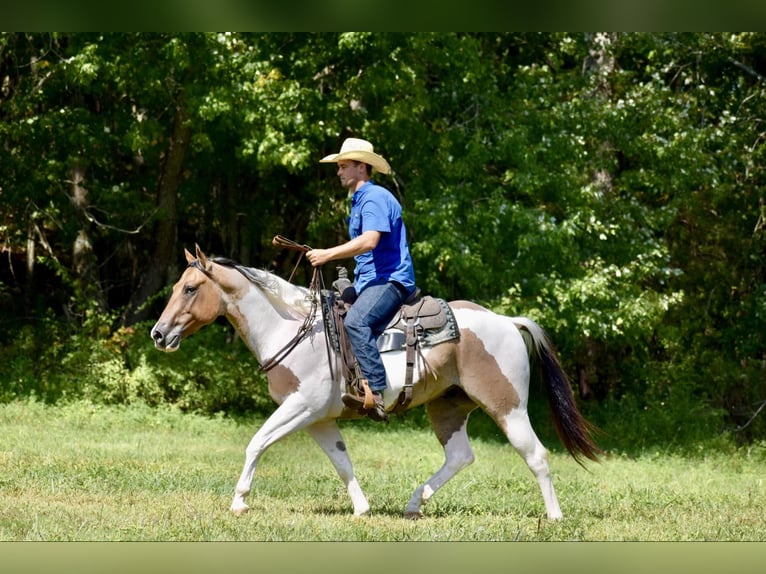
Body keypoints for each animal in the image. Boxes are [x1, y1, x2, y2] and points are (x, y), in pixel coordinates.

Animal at [150, 245, 604, 524]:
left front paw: (239, 501)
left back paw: (555, 516)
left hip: (507, 407)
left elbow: (256, 442)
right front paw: (362, 508)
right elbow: (342, 461)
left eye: (190, 288)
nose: (158, 334)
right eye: (176, 286)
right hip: (448, 406)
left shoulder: (301, 406)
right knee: (460, 456)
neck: (294, 329)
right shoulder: (319, 418)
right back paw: (415, 503)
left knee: (537, 456)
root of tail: (508, 321)